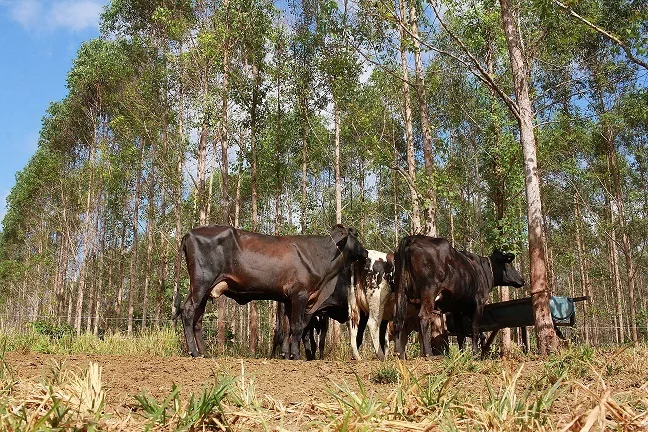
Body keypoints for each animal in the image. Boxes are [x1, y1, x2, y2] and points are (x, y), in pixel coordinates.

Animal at [180, 224, 368, 360]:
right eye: (355, 234)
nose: (366, 252)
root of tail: (189, 233)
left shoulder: (288, 299)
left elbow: (287, 328)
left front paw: (287, 355)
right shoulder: (300, 294)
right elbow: (297, 327)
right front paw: (296, 355)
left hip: (204, 289)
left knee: (198, 318)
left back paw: (204, 353)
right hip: (201, 281)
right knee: (188, 310)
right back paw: (194, 352)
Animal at [392, 236, 524, 358]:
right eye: (509, 264)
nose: (522, 280)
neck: (482, 271)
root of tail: (412, 238)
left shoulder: (456, 309)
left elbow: (461, 334)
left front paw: (461, 354)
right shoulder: (478, 304)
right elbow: (475, 329)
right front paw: (475, 353)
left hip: (401, 292)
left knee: (398, 321)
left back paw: (399, 355)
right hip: (429, 290)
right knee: (423, 317)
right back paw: (428, 354)